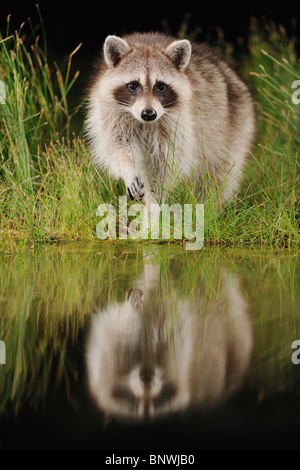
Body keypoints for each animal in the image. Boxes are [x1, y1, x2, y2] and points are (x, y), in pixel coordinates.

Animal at [86, 31, 255, 211]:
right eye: (133, 85)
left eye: (161, 86)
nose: (148, 114)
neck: (144, 123)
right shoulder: (111, 114)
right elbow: (117, 147)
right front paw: (127, 169)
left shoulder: (180, 124)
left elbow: (166, 164)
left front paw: (154, 204)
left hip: (235, 129)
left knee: (217, 175)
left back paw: (208, 208)